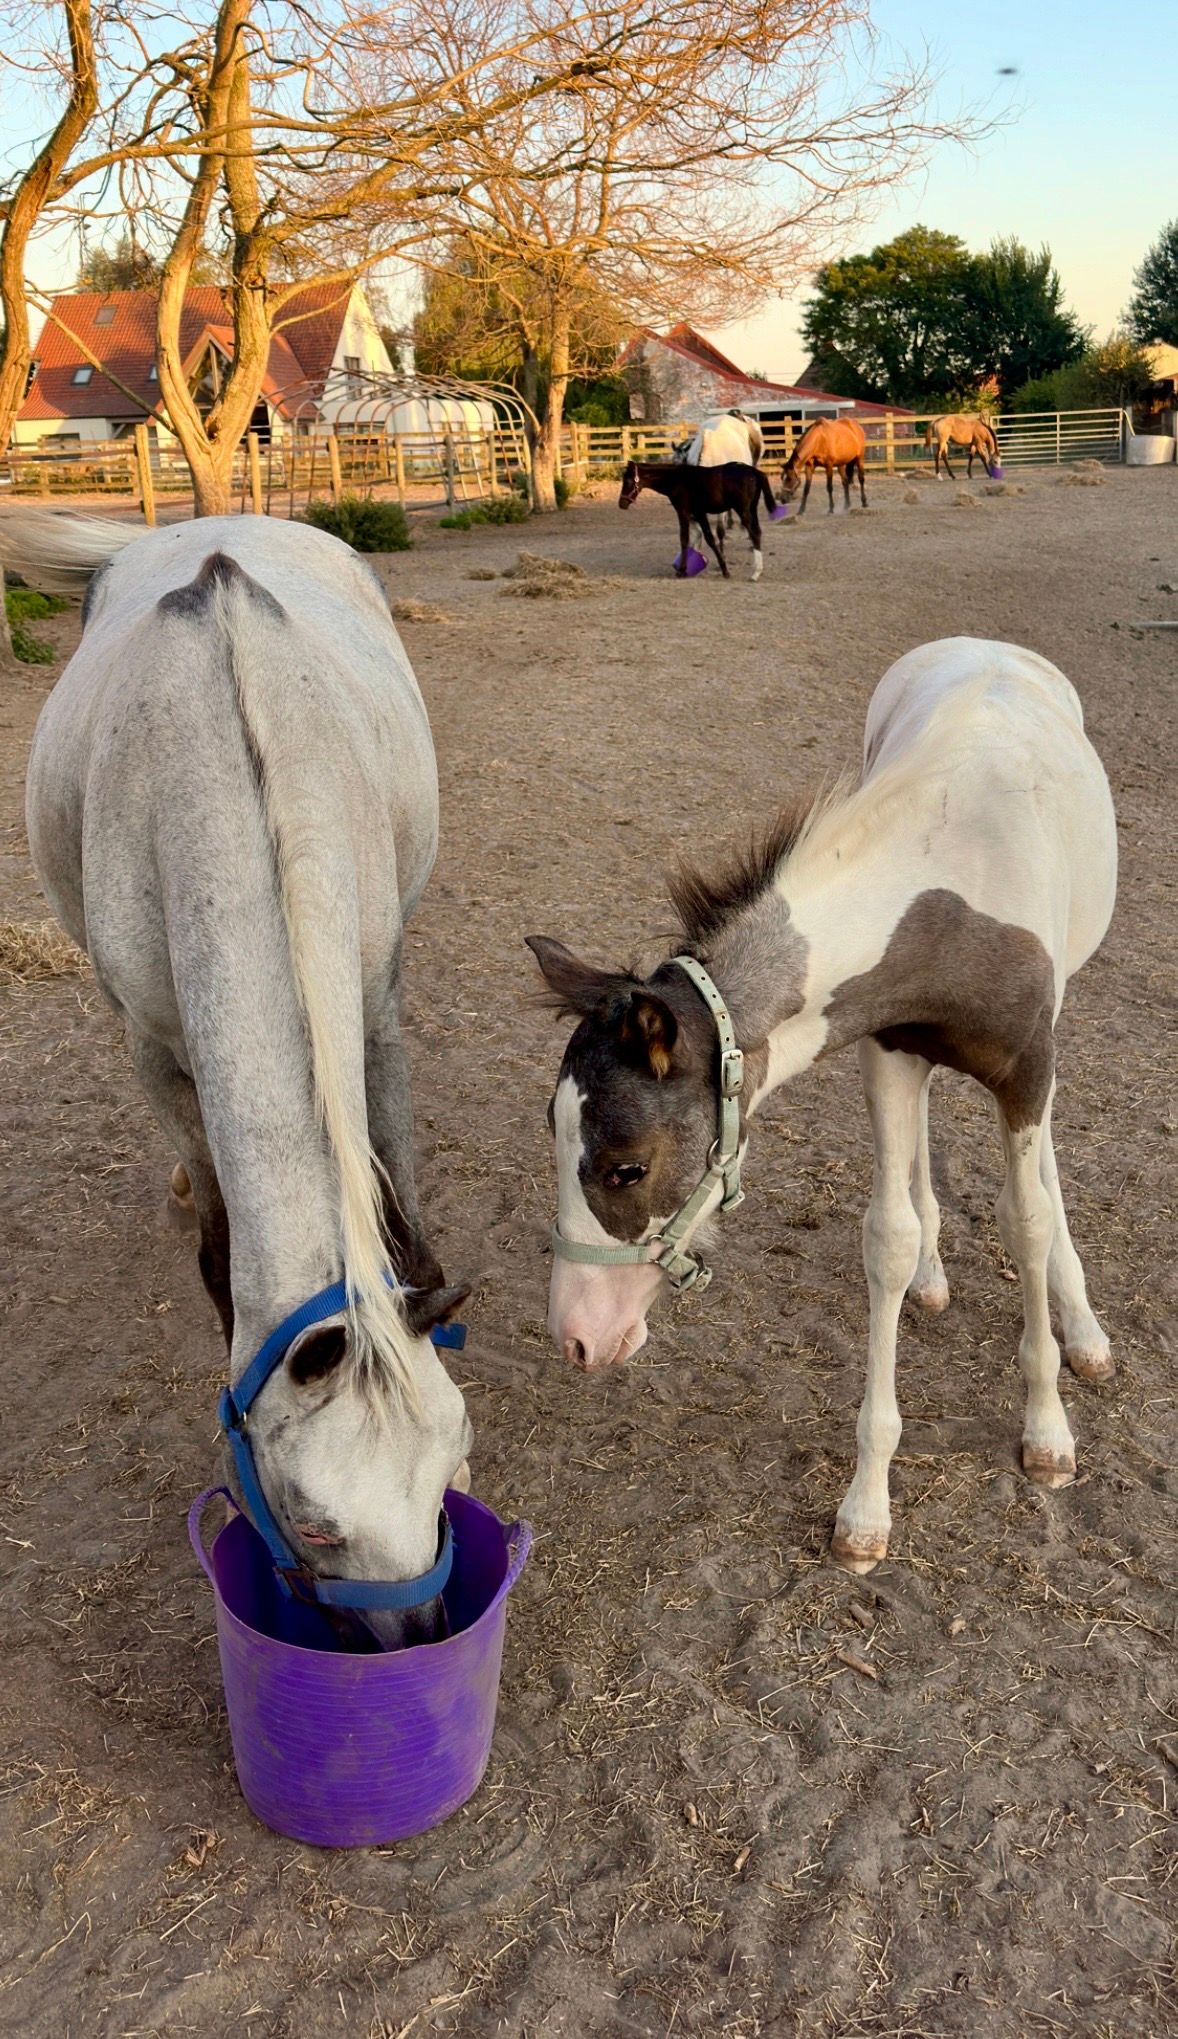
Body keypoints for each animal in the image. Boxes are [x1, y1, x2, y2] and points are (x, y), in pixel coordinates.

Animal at [1, 508, 472, 1641]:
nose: (425, 1637)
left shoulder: (377, 1005)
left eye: (451, 1460)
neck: (232, 778)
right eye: (313, 1525)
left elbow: (394, 1173)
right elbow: (218, 1227)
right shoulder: (158, 1055)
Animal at [527, 636, 1117, 1571]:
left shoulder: (1029, 1066)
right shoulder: (888, 1048)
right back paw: (940, 1277)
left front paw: (1049, 1430)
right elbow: (889, 1241)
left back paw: (1085, 1329)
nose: (575, 1338)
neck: (953, 878)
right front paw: (868, 1508)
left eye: (627, 1168)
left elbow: (1025, 1219)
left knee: (1043, 1174)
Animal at [618, 458, 777, 581]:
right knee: (757, 532)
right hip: (752, 509)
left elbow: (686, 539)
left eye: (628, 481)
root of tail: (754, 471)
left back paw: (755, 574)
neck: (677, 480)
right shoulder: (698, 514)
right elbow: (705, 538)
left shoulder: (684, 512)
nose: (622, 503)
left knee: (754, 534)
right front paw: (721, 569)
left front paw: (682, 571)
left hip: (743, 510)